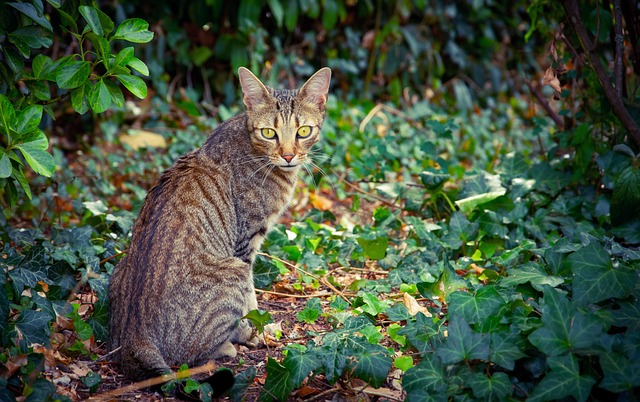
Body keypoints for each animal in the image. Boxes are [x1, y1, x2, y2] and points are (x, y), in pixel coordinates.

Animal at [107, 67, 332, 392]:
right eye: (269, 133)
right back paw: (230, 344)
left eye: (303, 131)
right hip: (231, 270)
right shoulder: (246, 242)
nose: (289, 155)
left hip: (119, 267)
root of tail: (135, 337)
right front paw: (255, 330)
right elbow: (251, 296)